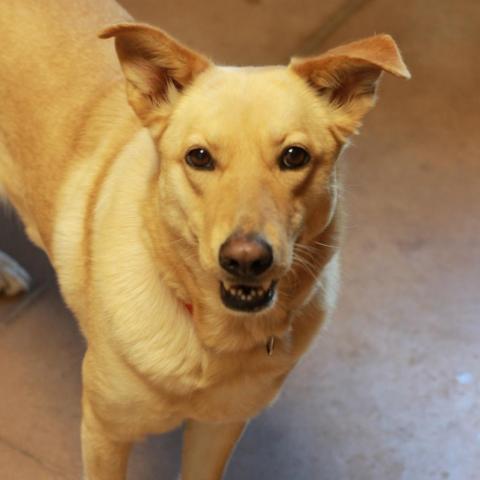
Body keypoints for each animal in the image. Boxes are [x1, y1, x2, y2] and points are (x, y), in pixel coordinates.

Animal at [0, 1, 410, 478]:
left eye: (294, 156)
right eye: (199, 157)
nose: (246, 259)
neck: (211, 336)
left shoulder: (219, 430)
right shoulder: (105, 431)